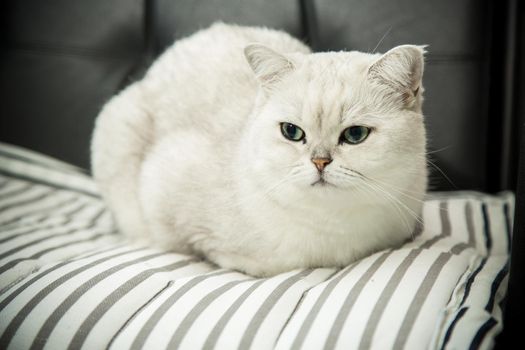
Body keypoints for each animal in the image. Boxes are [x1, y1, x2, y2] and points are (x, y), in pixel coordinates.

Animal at [90, 23, 426, 278]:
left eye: (355, 135)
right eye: (291, 132)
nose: (320, 162)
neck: (335, 232)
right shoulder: (164, 186)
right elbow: (213, 250)